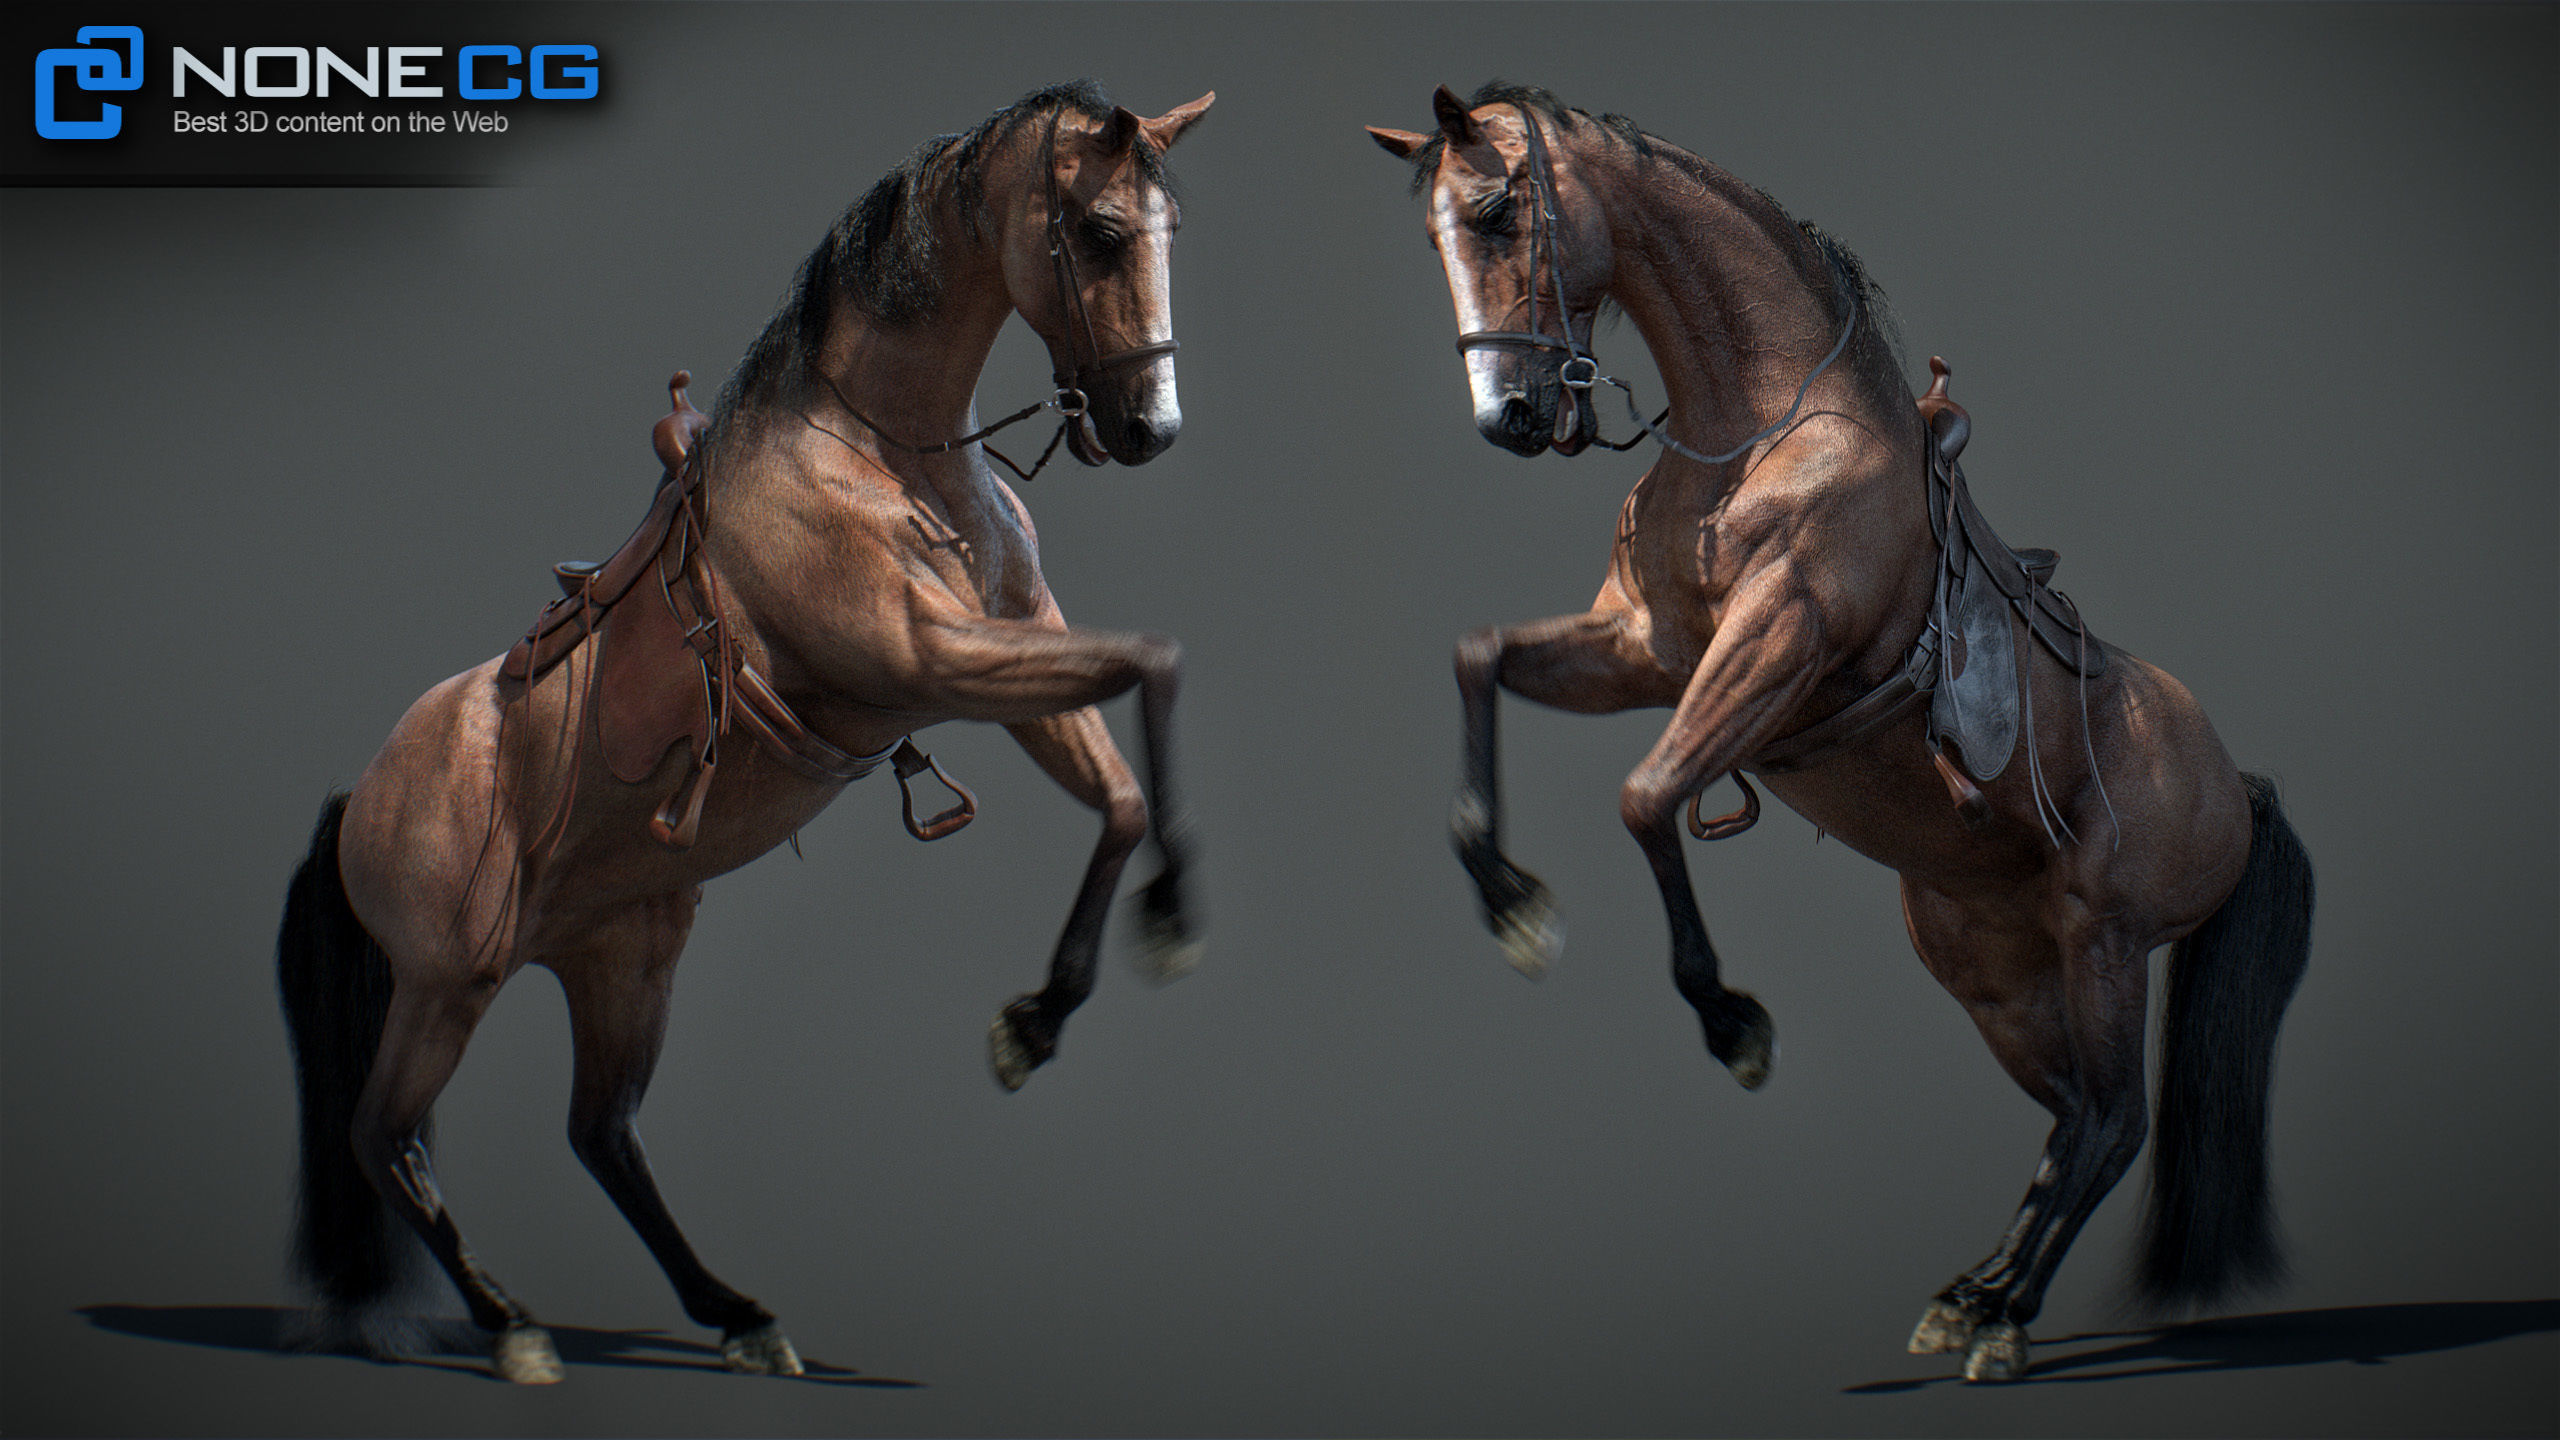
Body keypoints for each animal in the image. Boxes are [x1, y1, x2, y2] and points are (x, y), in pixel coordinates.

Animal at [276, 81, 1214, 1385]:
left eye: (1169, 232)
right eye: (1101, 232)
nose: (1149, 427)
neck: (877, 452)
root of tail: (358, 799)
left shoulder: (1011, 654)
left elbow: (1124, 784)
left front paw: (1050, 1011)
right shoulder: (930, 660)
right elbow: (1154, 664)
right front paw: (1145, 942)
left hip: (621, 959)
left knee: (601, 1134)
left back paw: (737, 1314)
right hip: (447, 988)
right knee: (385, 1140)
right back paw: (515, 1328)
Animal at [1369, 83, 2312, 1383]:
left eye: (1501, 211)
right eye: (1430, 238)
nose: (1509, 417)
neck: (1762, 435)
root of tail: (2237, 783)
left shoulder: (1771, 648)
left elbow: (1646, 798)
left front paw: (1732, 1024)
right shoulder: (1643, 652)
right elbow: (1479, 661)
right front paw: (1512, 905)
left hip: (2105, 943)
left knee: (2116, 1124)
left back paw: (2001, 1322)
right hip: (1992, 970)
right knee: (2072, 1117)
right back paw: (1970, 1295)